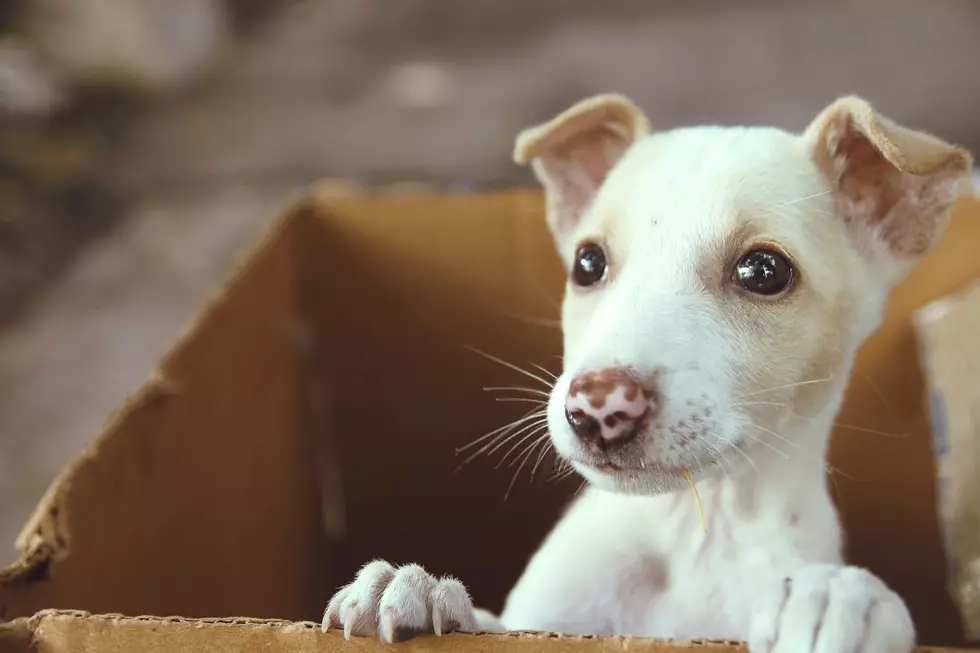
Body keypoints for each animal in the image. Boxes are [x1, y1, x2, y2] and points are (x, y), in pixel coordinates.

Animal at [322, 93, 972, 652]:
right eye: (587, 263)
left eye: (763, 271)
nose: (598, 407)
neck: (691, 532)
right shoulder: (537, 621)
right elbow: (493, 623)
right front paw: (420, 589)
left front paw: (842, 599)